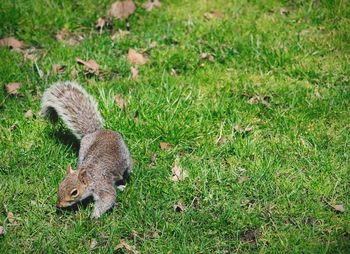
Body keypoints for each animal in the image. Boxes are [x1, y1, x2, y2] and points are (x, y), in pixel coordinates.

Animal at [40, 81, 133, 218]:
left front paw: (94, 216)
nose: (59, 205)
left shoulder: (102, 185)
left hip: (126, 158)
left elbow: (108, 198)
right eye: (60, 184)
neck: (90, 177)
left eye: (74, 192)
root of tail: (98, 131)